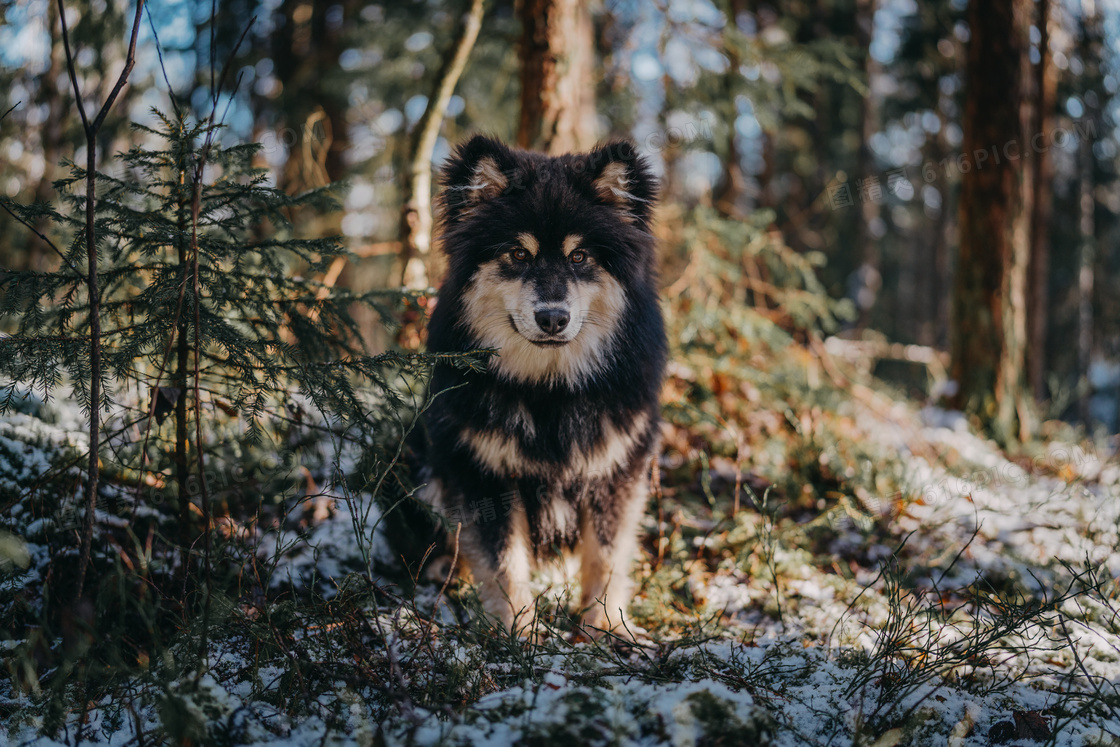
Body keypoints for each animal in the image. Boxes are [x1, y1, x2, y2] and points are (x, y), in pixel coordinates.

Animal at [418, 137, 663, 636]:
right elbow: (504, 563)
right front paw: (517, 634)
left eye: (579, 257)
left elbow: (605, 558)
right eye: (518, 254)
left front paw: (600, 629)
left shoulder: (615, 471)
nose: (552, 318)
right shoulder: (482, 472)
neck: (549, 389)